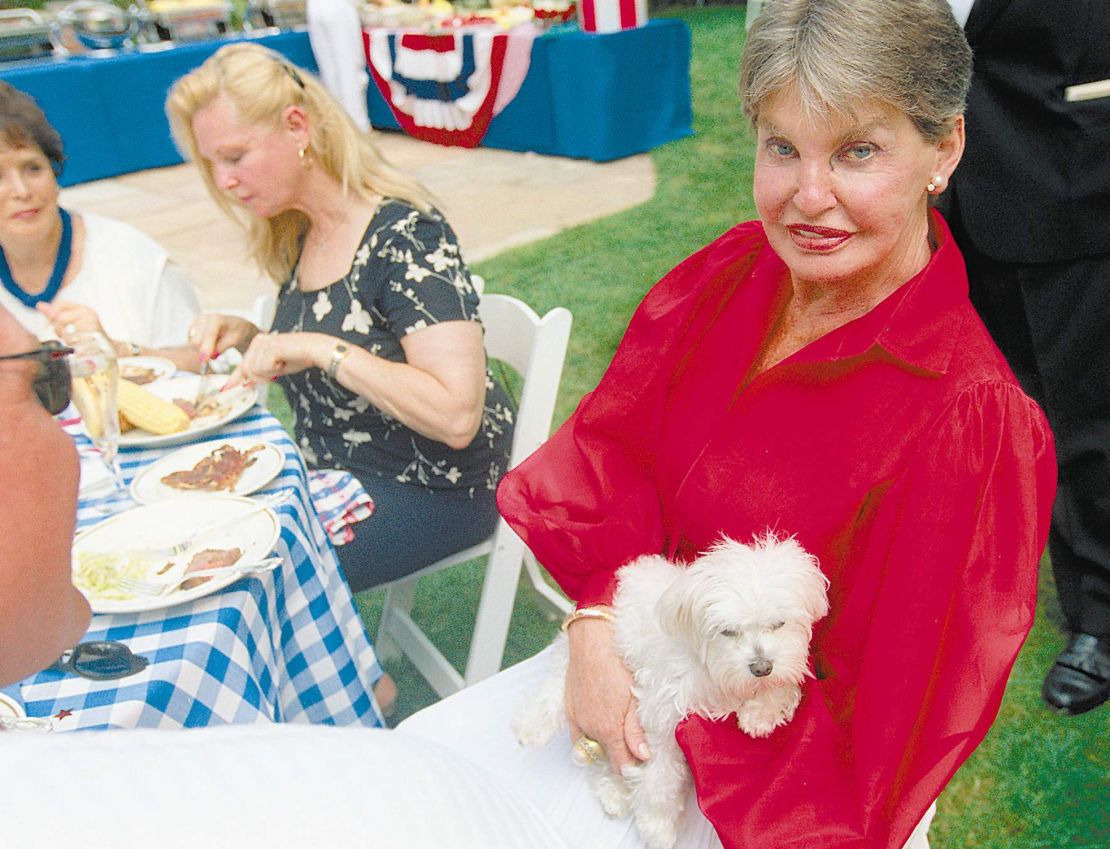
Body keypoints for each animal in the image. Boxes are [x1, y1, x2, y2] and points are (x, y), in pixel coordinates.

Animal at [510, 532, 825, 847]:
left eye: (778, 623)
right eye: (727, 631)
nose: (761, 666)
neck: (715, 673)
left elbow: (785, 684)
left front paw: (762, 712)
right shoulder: (661, 715)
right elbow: (660, 779)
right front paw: (657, 826)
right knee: (555, 690)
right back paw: (534, 729)